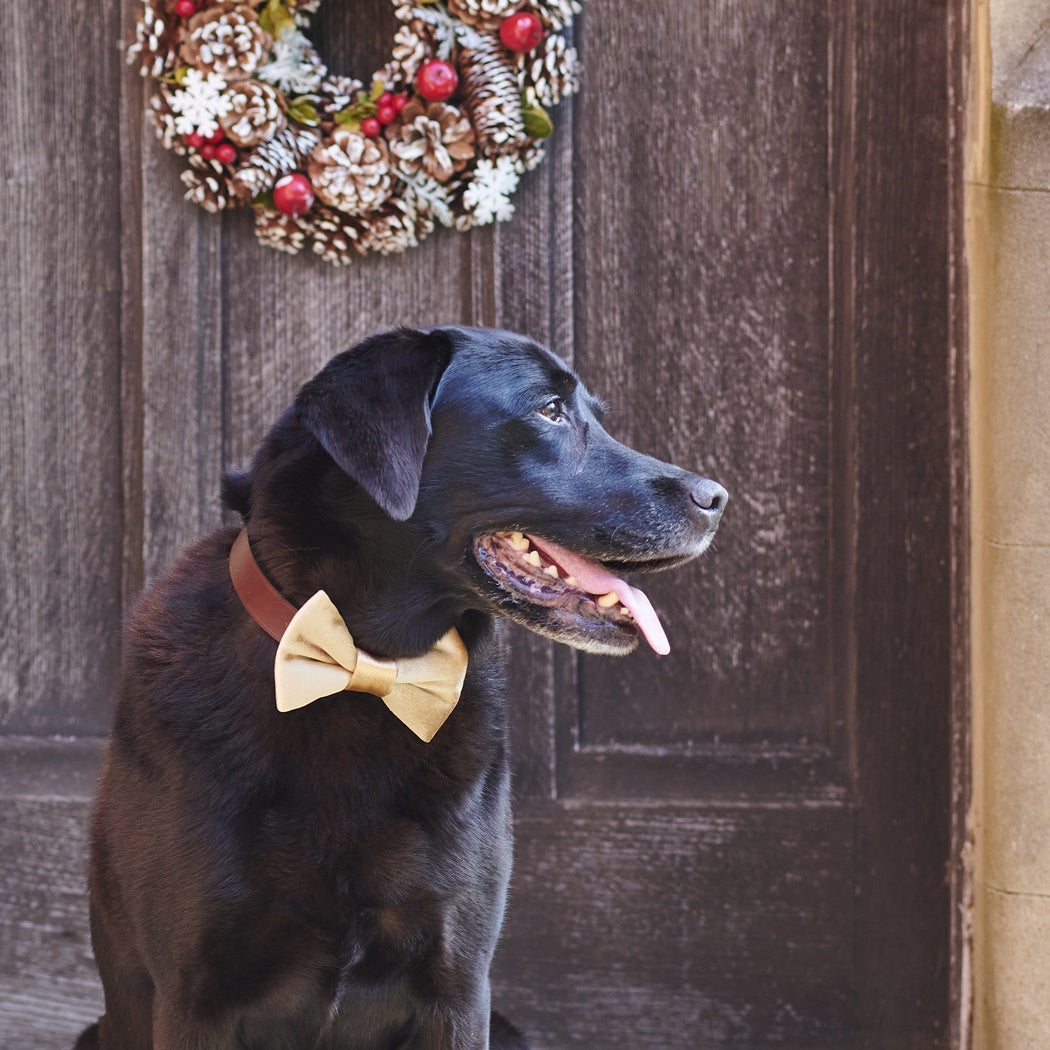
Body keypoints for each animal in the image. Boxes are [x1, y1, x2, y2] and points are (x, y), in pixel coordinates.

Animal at [77, 327, 726, 1050]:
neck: (368, 665)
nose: (717, 498)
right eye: (550, 411)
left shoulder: (459, 986)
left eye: (595, 414)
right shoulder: (195, 996)